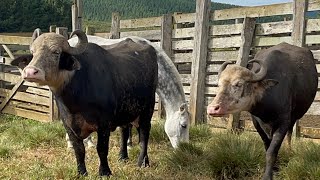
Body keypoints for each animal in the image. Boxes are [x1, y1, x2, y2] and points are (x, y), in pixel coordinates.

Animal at [10, 29, 158, 176]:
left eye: (56, 52)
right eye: (33, 53)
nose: (30, 72)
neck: (76, 101)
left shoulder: (104, 124)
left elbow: (101, 148)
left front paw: (105, 171)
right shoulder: (68, 125)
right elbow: (79, 150)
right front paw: (81, 172)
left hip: (148, 109)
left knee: (144, 135)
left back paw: (143, 162)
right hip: (126, 111)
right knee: (125, 130)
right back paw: (123, 157)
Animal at [208, 42, 318, 180]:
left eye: (239, 84)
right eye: (219, 85)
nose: (213, 108)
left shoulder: (283, 122)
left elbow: (272, 151)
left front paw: (268, 175)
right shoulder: (256, 123)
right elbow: (267, 146)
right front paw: (275, 169)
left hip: (294, 117)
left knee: (290, 133)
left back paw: (289, 151)